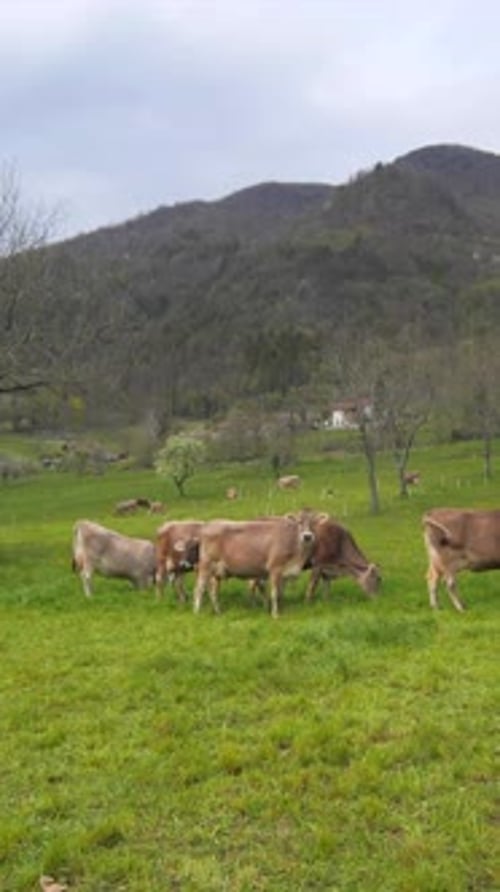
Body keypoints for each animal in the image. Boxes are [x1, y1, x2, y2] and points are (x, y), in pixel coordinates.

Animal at [193, 510, 324, 618]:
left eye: (314, 522)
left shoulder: (285, 574)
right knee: (199, 588)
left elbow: (281, 594)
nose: (307, 536)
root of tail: (209, 524)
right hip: (206, 564)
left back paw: (218, 612)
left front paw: (281, 610)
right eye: (299, 522)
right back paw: (197, 612)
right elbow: (274, 593)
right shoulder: (274, 569)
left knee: (213, 591)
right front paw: (275, 615)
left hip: (217, 572)